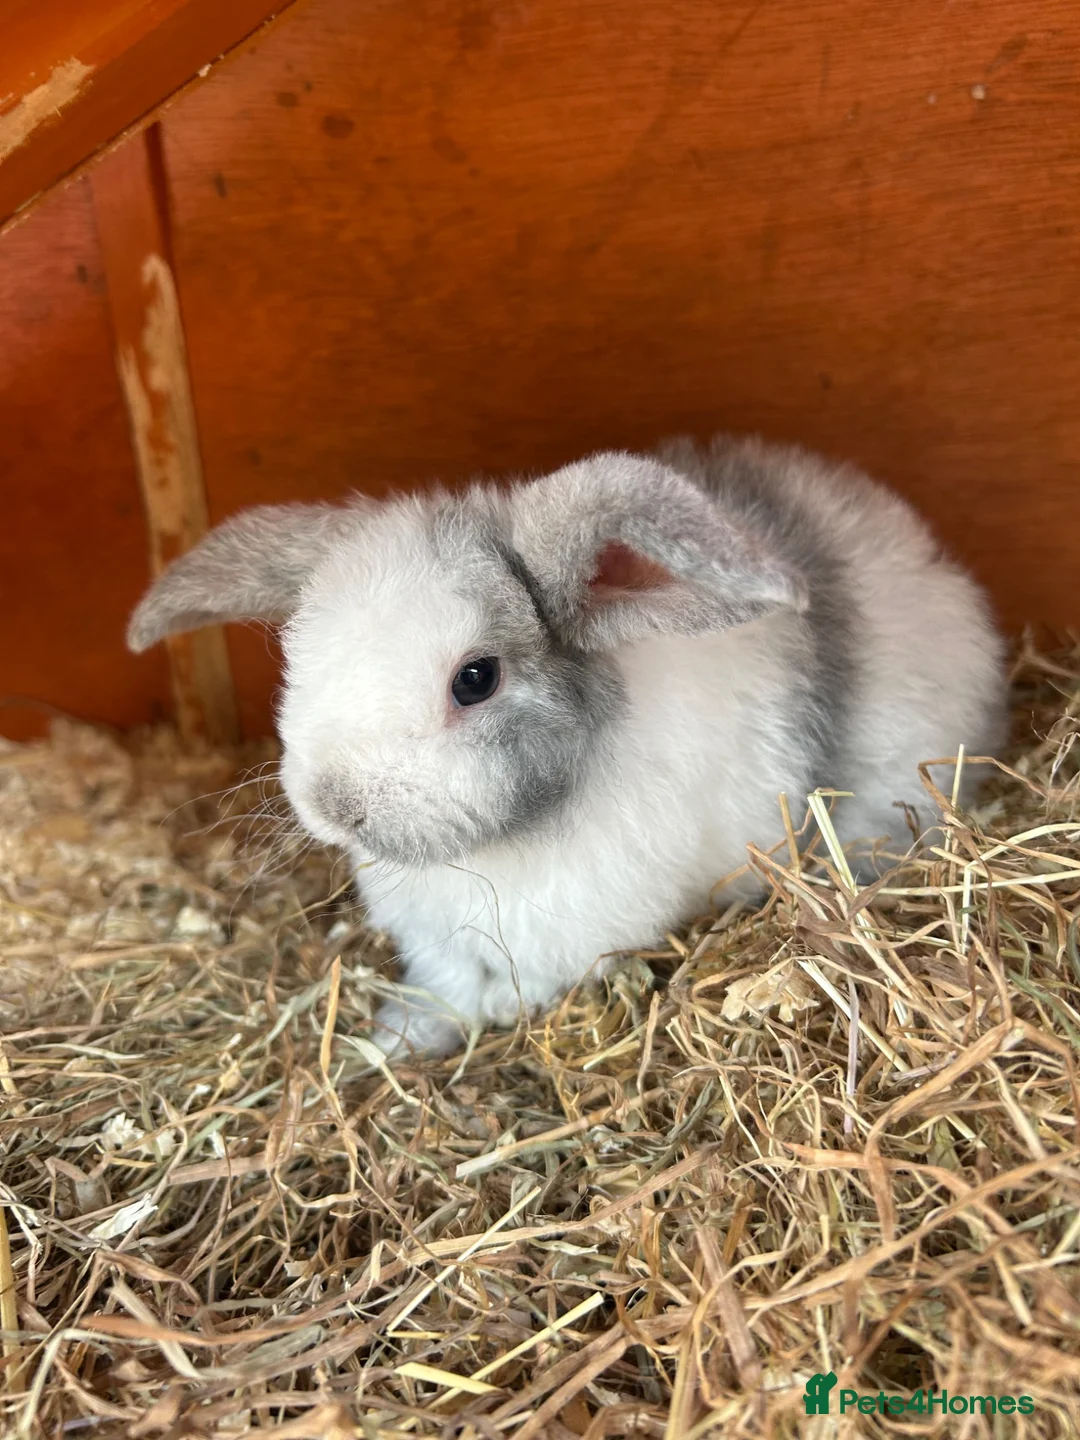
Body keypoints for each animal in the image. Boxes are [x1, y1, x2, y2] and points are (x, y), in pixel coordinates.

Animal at [127, 434, 1007, 1059]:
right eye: (302, 657)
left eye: (475, 679)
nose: (336, 806)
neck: (493, 851)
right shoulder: (436, 941)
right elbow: (444, 988)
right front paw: (394, 1040)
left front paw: (467, 1019)